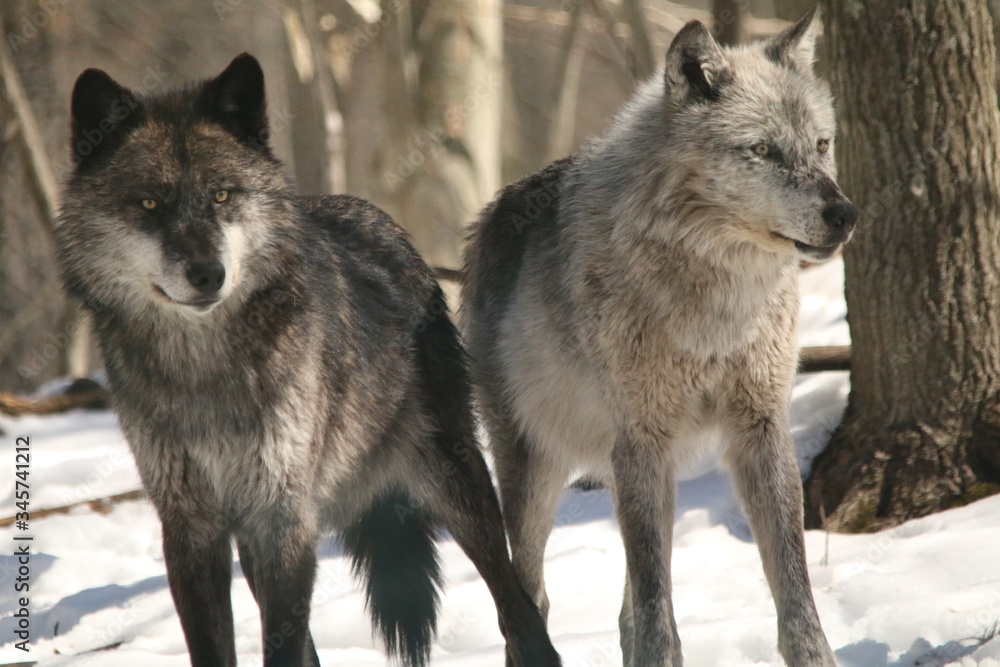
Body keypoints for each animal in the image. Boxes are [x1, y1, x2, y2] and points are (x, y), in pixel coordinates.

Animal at [55, 54, 561, 667]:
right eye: (149, 203)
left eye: (222, 196)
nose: (207, 274)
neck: (203, 369)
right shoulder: (192, 527)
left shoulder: (283, 517)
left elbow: (283, 643)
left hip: (454, 481)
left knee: (516, 600)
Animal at [462, 9, 855, 667]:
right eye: (762, 150)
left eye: (821, 145)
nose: (845, 214)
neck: (717, 307)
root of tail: (490, 213)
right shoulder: (642, 438)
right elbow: (654, 610)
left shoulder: (760, 428)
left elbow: (794, 592)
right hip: (538, 469)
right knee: (531, 599)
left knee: (619, 609)